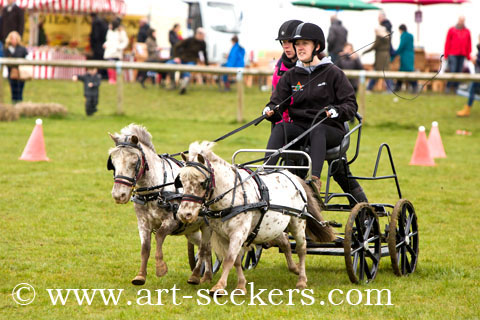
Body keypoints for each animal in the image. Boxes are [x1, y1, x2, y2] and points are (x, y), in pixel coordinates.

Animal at [109, 124, 214, 284]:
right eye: (113, 162)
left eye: (134, 162)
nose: (118, 195)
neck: (154, 191)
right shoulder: (143, 223)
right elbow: (145, 248)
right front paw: (140, 275)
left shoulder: (172, 220)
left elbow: (159, 236)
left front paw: (160, 268)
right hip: (191, 231)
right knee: (205, 248)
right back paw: (205, 276)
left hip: (207, 226)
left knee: (205, 248)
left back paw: (200, 276)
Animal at [176, 141, 334, 294]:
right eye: (181, 181)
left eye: (202, 182)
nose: (184, 214)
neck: (230, 196)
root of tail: (292, 176)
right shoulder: (222, 235)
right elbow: (234, 259)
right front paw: (241, 285)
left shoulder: (238, 232)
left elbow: (229, 259)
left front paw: (219, 286)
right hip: (273, 228)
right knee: (285, 242)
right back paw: (294, 268)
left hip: (298, 222)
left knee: (301, 249)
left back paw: (301, 279)